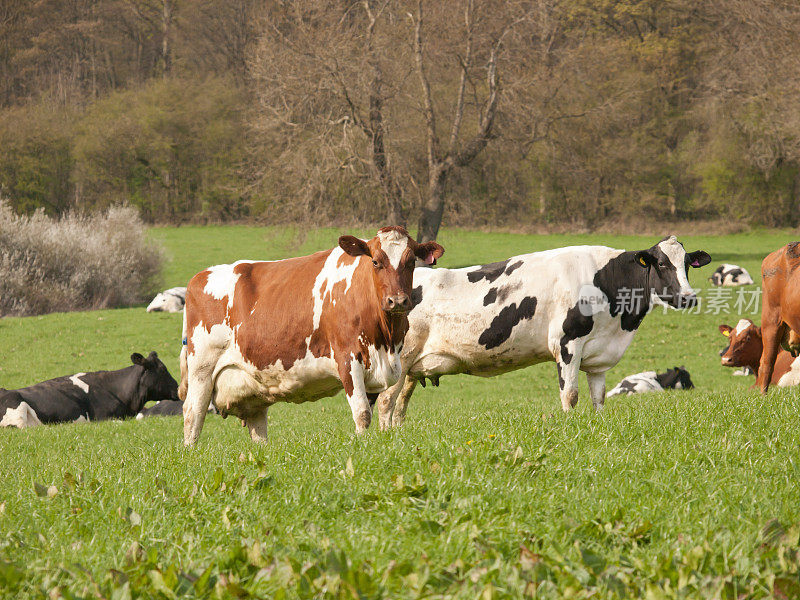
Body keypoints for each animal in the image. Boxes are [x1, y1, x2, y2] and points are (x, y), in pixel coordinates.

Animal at [178, 226, 444, 446]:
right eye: (376, 262)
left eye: (411, 262)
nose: (397, 301)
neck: (385, 341)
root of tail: (200, 277)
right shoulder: (348, 358)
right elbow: (362, 413)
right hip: (202, 368)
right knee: (192, 413)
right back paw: (191, 453)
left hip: (253, 386)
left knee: (257, 426)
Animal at [376, 234, 712, 426]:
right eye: (662, 264)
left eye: (687, 264)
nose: (688, 297)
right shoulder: (567, 344)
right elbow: (570, 394)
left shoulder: (599, 356)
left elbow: (599, 399)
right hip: (399, 360)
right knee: (385, 401)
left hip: (414, 367)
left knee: (400, 406)